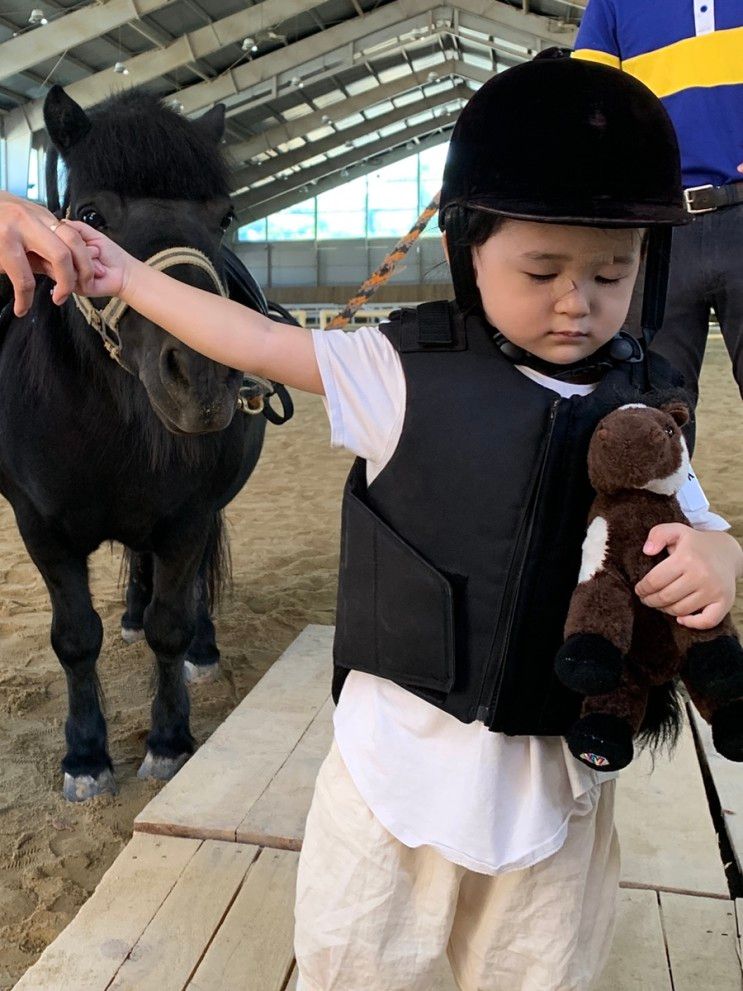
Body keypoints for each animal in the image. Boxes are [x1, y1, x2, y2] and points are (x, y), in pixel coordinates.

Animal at [0, 89, 294, 808]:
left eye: (224, 216)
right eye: (90, 216)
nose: (203, 374)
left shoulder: (187, 521)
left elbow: (171, 622)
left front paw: (168, 741)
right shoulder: (40, 528)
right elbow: (76, 638)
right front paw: (85, 755)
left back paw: (202, 653)